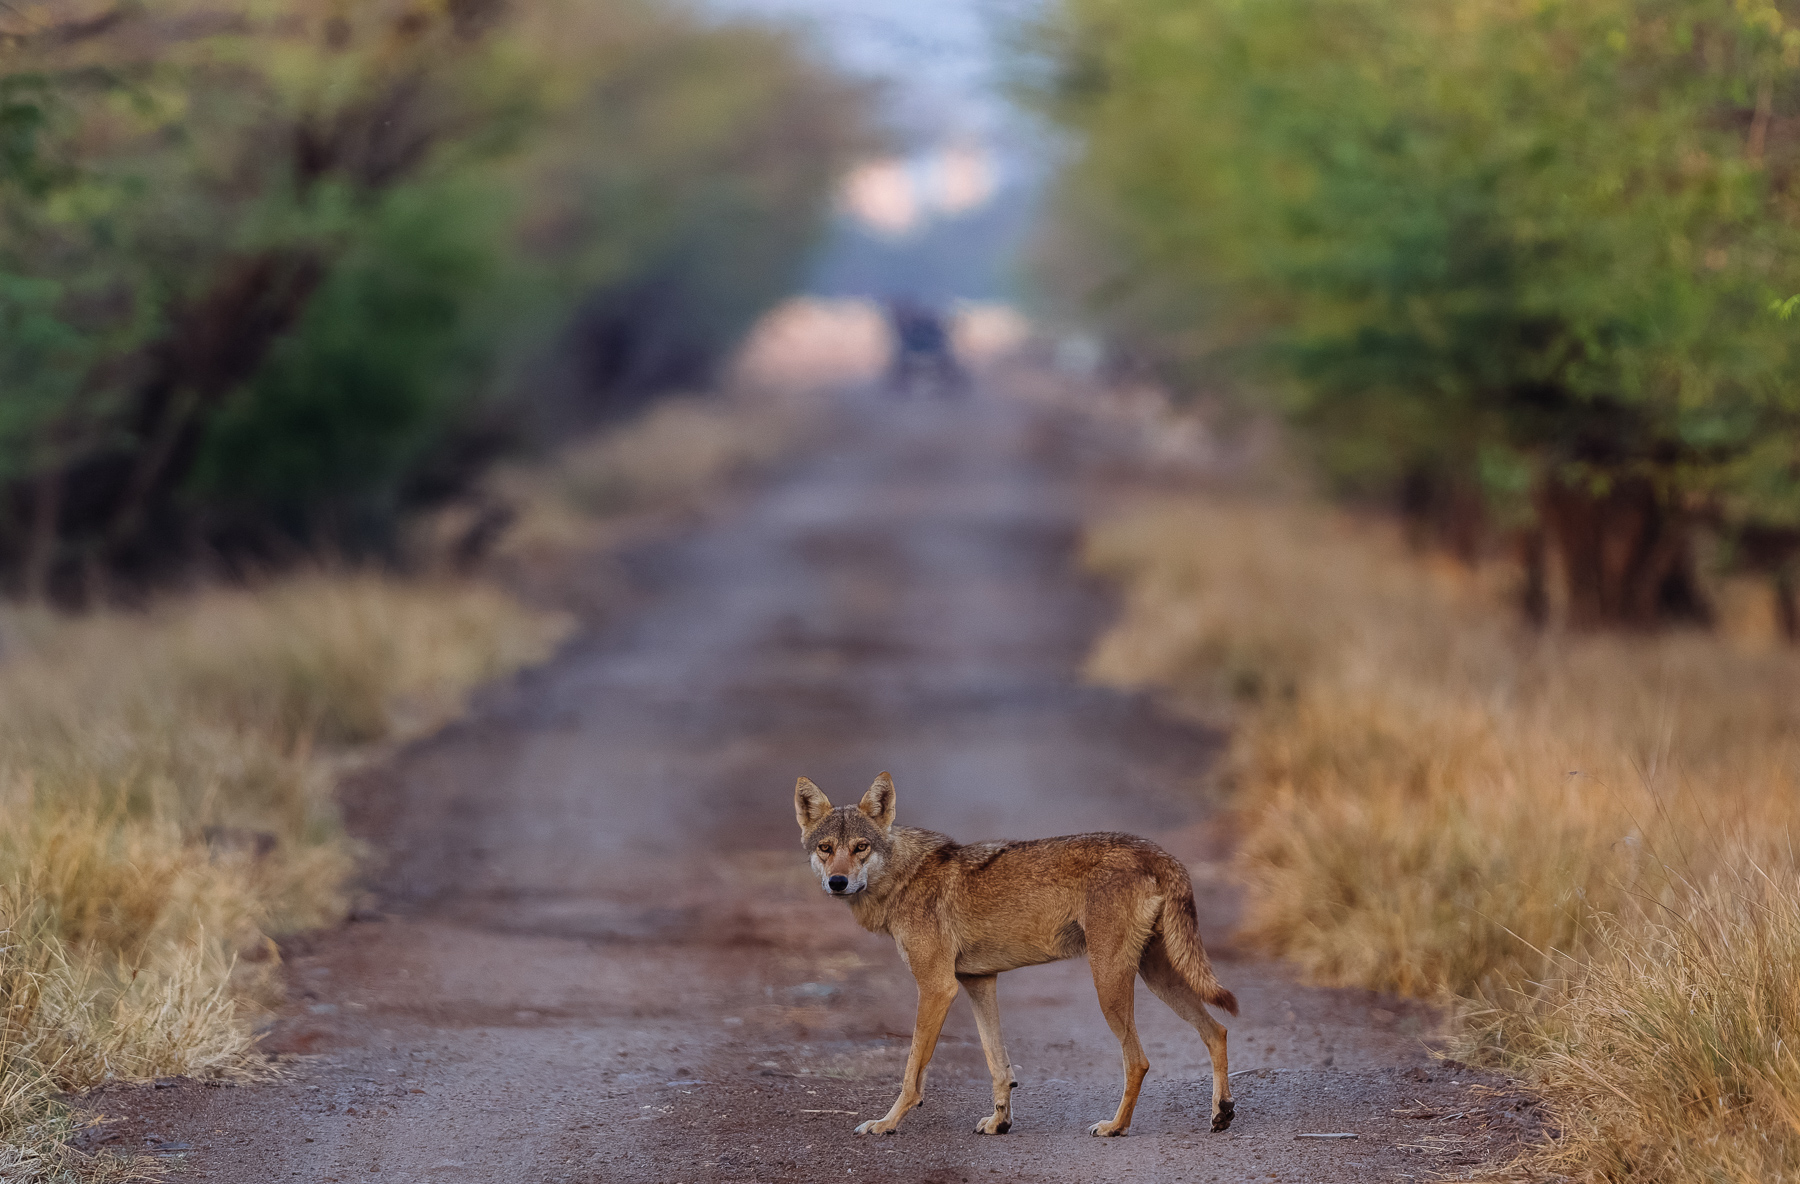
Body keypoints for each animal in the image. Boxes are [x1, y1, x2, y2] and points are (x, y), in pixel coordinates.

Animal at [794, 771, 1238, 1138]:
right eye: (826, 848)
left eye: (861, 847)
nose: (838, 882)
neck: (903, 880)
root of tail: (1157, 852)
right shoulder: (977, 982)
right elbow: (998, 1064)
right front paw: (999, 1122)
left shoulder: (937, 988)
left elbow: (912, 1071)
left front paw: (886, 1124)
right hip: (1158, 977)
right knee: (1217, 1030)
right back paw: (1221, 1112)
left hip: (1109, 983)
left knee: (1139, 1060)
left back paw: (1115, 1126)